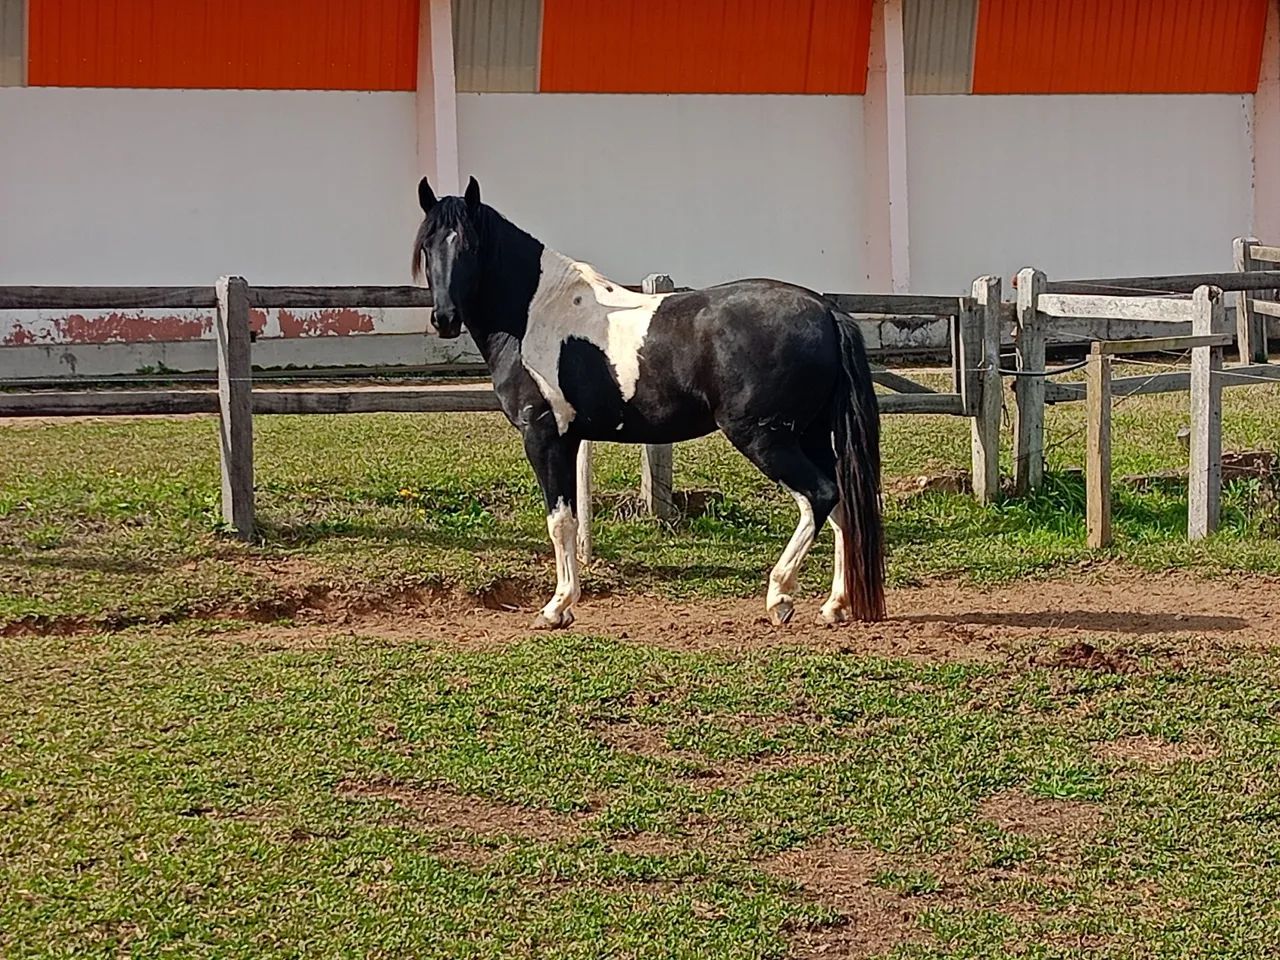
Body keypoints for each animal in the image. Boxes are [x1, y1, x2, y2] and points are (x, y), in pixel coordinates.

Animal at [411, 176, 885, 629]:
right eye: (428, 245)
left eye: (470, 244)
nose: (445, 319)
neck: (535, 314)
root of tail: (824, 311)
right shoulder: (569, 440)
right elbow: (572, 519)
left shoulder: (543, 435)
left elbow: (559, 521)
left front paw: (557, 608)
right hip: (810, 436)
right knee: (842, 506)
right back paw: (835, 605)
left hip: (765, 438)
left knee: (818, 496)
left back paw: (780, 597)